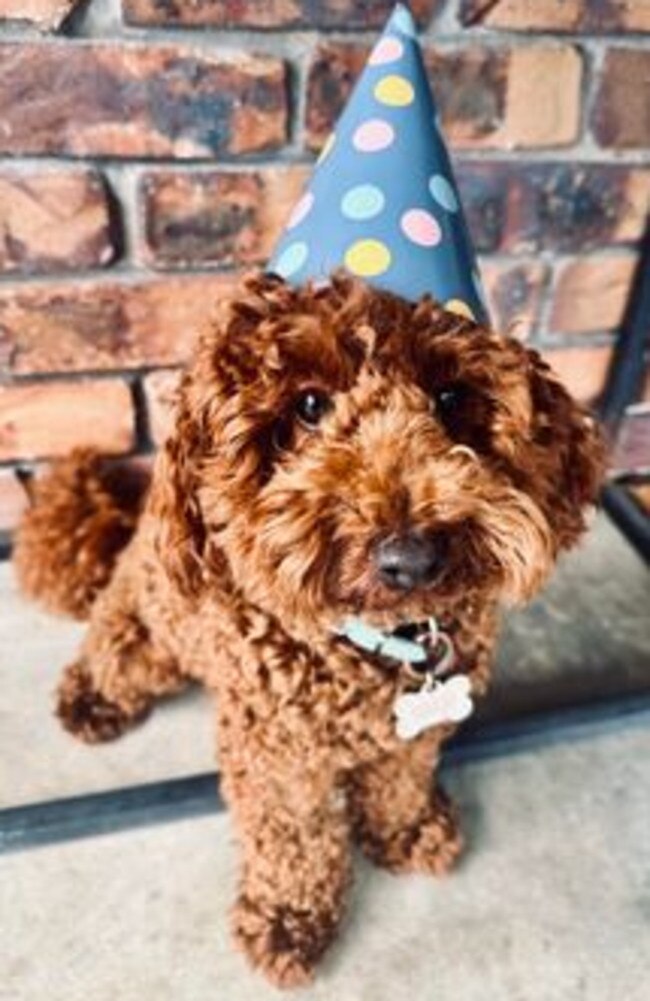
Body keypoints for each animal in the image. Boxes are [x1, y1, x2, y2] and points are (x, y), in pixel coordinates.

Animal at [13, 272, 604, 984]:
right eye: (311, 406)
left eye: (450, 396)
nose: (411, 557)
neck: (373, 641)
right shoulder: (276, 754)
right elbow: (293, 839)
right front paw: (288, 921)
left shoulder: (412, 734)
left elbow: (400, 780)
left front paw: (407, 831)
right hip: (148, 638)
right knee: (108, 652)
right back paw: (92, 699)